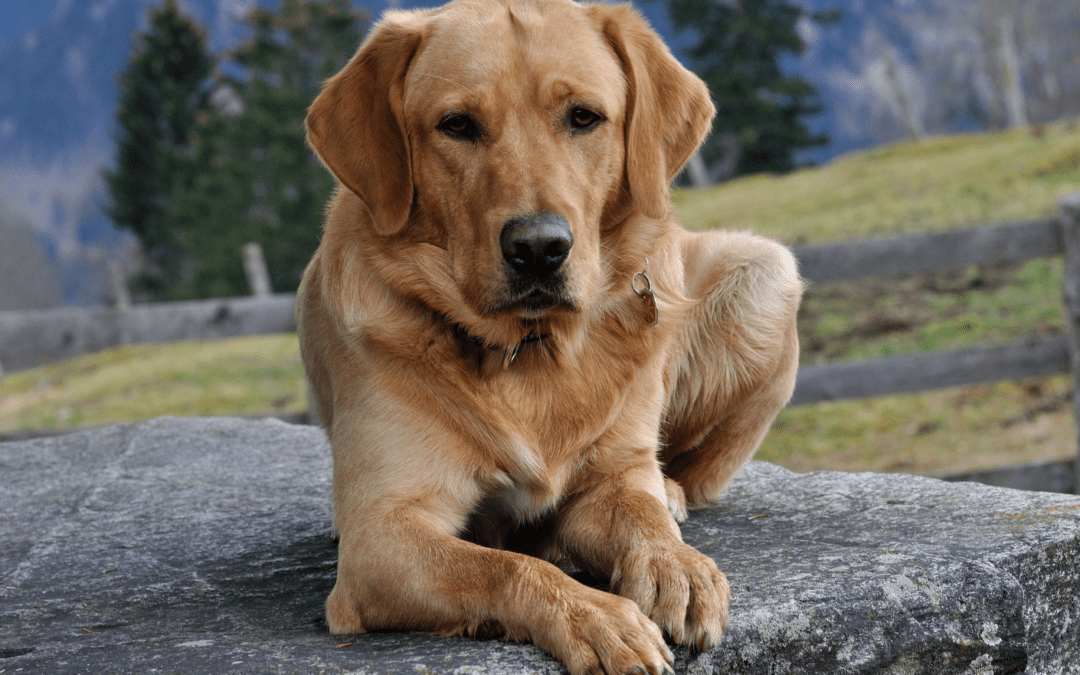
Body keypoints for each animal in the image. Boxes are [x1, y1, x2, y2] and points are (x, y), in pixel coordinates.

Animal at [295, 1, 803, 669]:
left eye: (583, 117)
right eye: (456, 125)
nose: (538, 247)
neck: (529, 350)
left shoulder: (610, 477)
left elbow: (639, 516)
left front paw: (676, 565)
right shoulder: (382, 537)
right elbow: (507, 568)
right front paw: (593, 615)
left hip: (767, 273)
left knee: (686, 475)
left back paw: (670, 493)